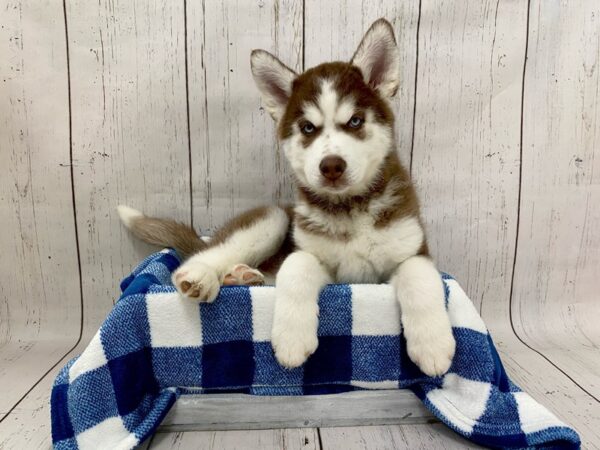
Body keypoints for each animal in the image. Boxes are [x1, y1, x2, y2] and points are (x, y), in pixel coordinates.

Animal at [118, 17, 454, 376]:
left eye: (355, 121)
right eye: (307, 128)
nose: (331, 166)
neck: (350, 208)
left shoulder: (411, 250)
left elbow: (420, 277)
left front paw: (433, 345)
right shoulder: (312, 253)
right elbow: (296, 265)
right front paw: (292, 339)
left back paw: (241, 277)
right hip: (276, 218)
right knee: (202, 256)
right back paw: (201, 277)